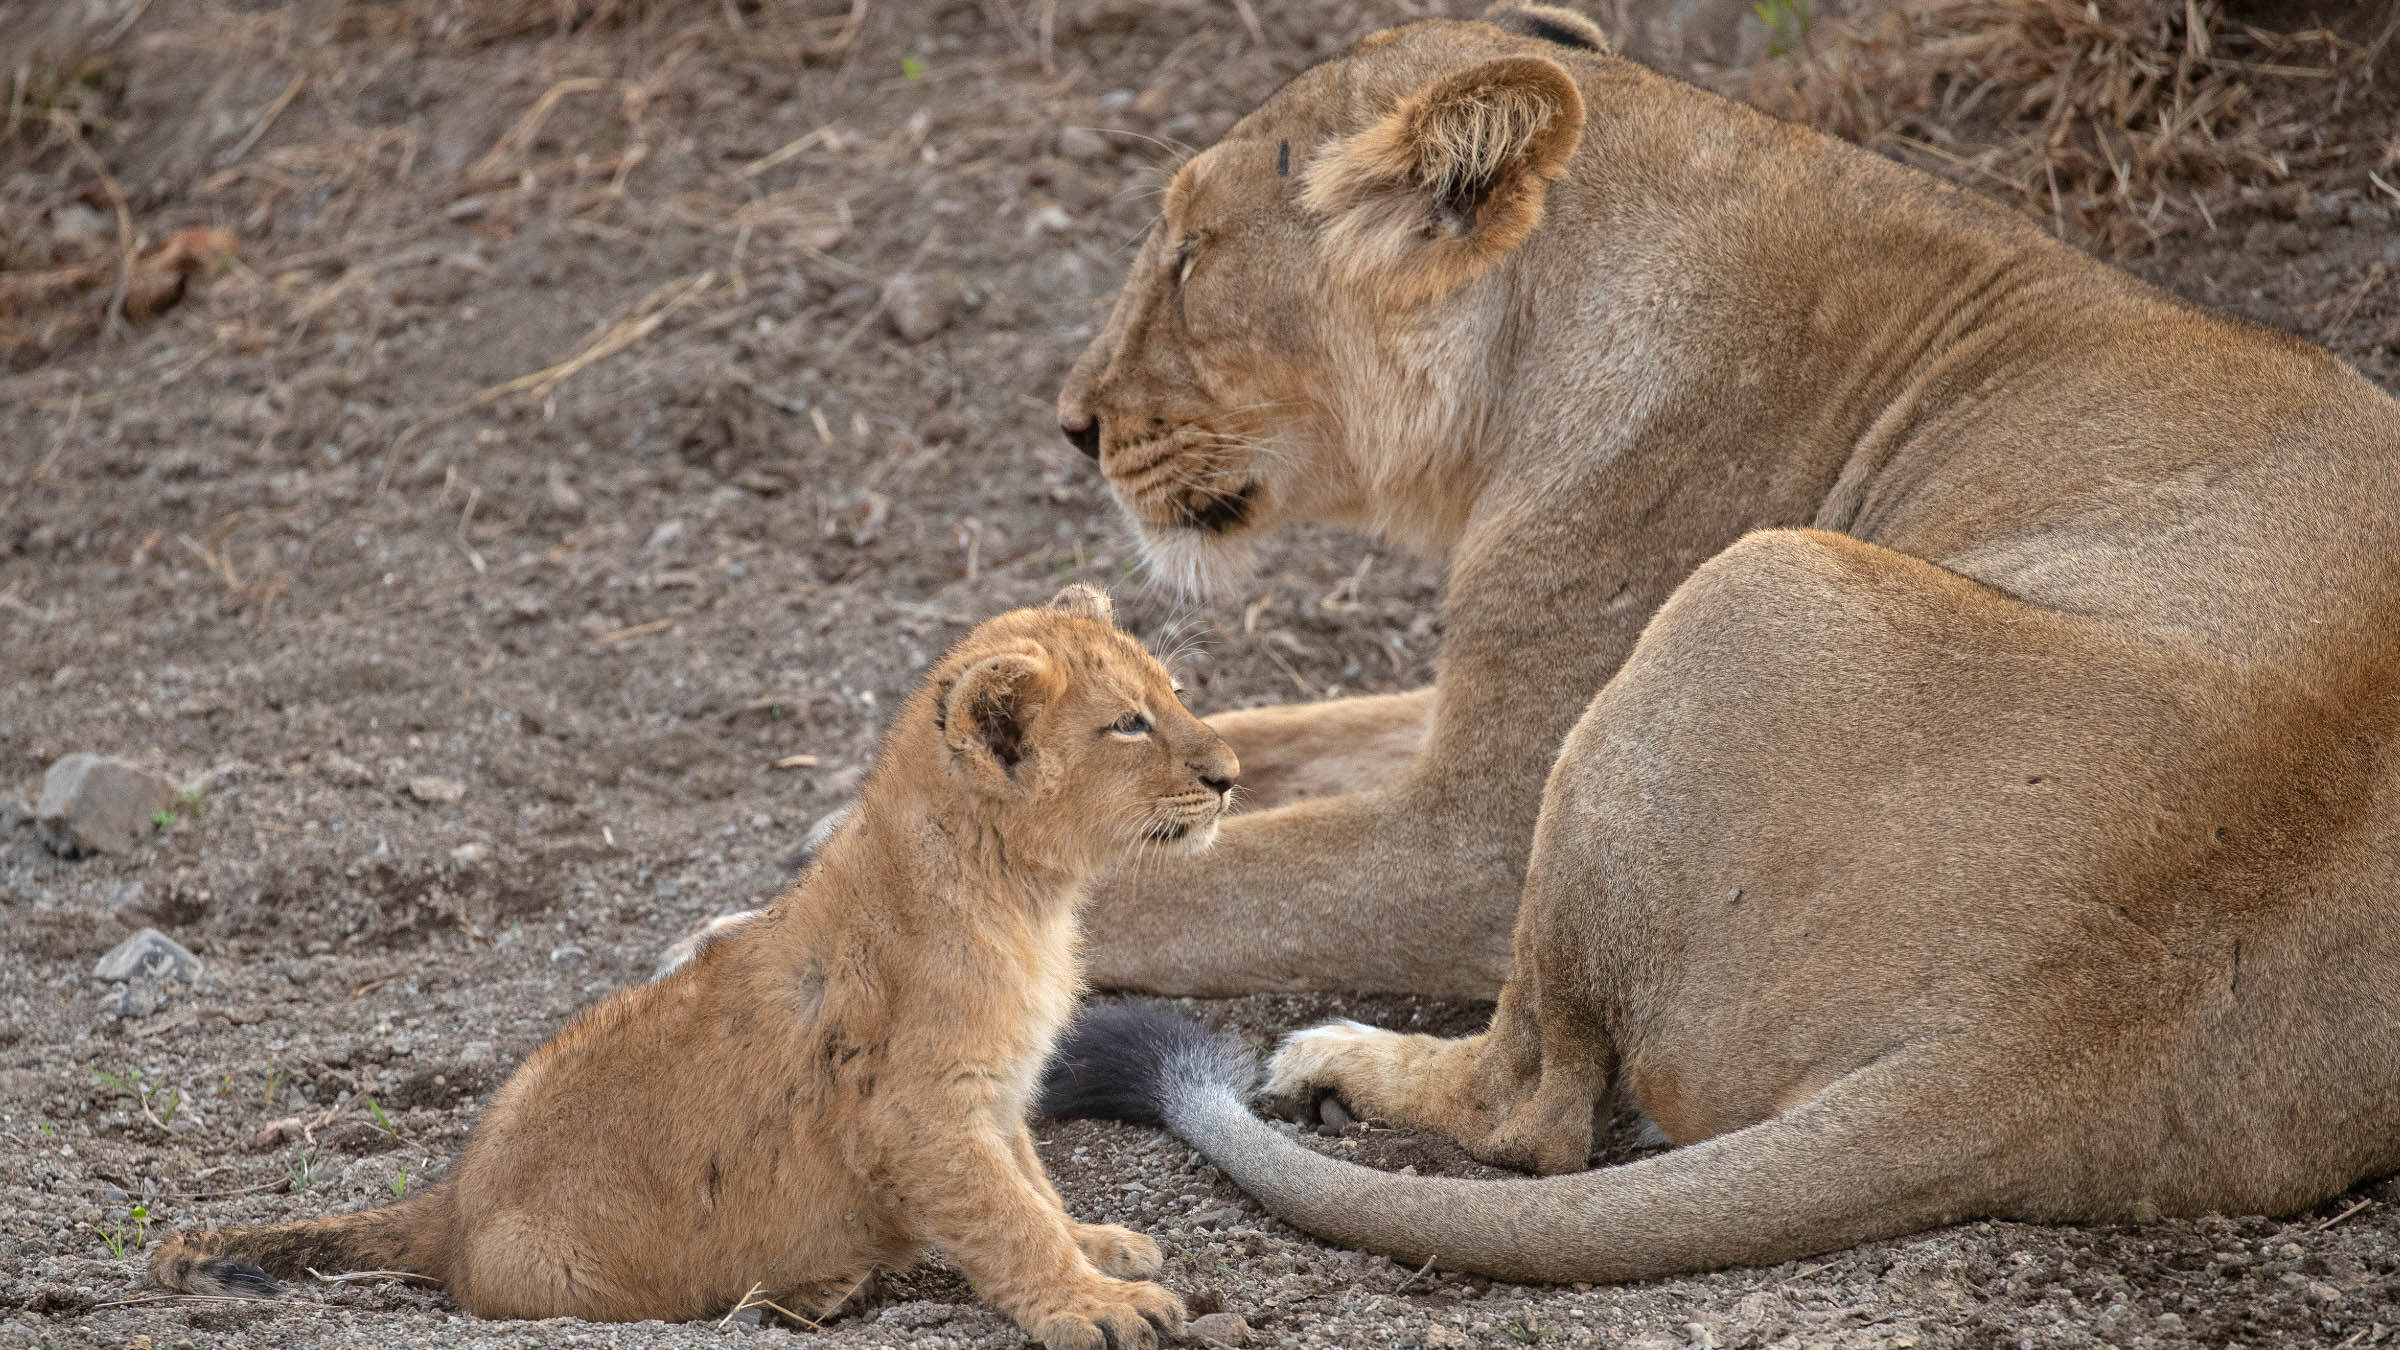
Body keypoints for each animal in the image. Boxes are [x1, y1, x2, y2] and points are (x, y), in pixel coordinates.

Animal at [154, 585, 1234, 1349]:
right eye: (1129, 724)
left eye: (1176, 694)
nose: (1228, 775)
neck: (1024, 892)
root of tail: (449, 1206)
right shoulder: (919, 1107)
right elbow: (1006, 1217)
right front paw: (1094, 1305)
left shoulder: (996, 1095)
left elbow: (1033, 1187)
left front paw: (1099, 1250)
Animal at [1039, 2, 2400, 1281]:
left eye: (1190, 258)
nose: (1072, 424)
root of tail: (2053, 1033)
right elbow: (1258, 743)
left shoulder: (1476, 835)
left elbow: (1167, 888)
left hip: (1749, 588)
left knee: (1533, 1115)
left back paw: (1338, 1062)